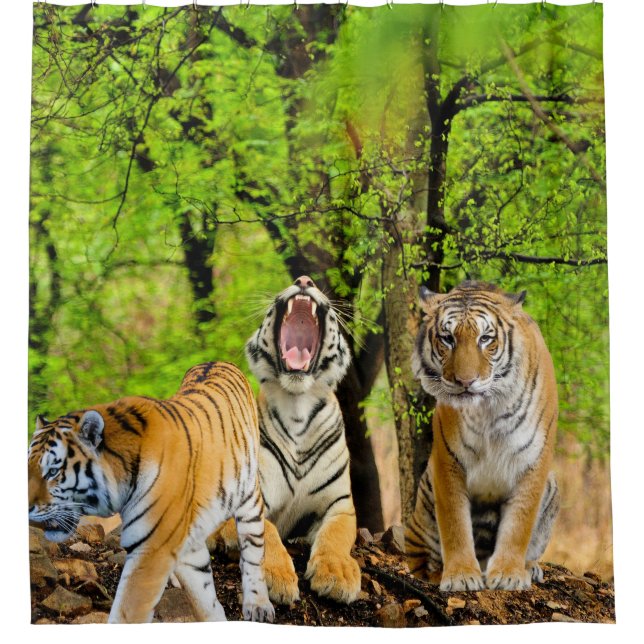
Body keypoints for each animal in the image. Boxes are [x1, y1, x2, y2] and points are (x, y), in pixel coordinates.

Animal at [28, 362, 275, 623]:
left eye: (53, 471)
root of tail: (215, 362)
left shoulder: (152, 549)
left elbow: (127, 613)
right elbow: (205, 600)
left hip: (249, 498)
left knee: (253, 551)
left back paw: (258, 604)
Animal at [213, 275, 361, 604]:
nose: (305, 280)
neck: (298, 406)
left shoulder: (340, 504)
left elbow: (337, 534)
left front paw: (337, 574)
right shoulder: (251, 500)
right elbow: (266, 532)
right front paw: (277, 577)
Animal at [405, 281, 559, 591]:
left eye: (485, 338)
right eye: (447, 338)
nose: (465, 382)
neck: (489, 408)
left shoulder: (534, 461)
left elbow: (519, 523)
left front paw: (509, 574)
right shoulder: (447, 459)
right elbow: (454, 523)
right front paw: (461, 576)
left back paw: (530, 569)